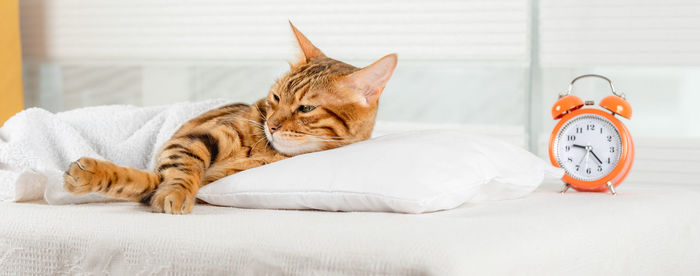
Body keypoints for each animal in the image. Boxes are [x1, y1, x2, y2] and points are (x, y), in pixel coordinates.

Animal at [63, 23, 396, 213]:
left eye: (306, 109)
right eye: (276, 98)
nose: (272, 125)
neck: (267, 152)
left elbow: (151, 181)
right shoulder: (195, 138)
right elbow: (172, 171)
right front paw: (173, 192)